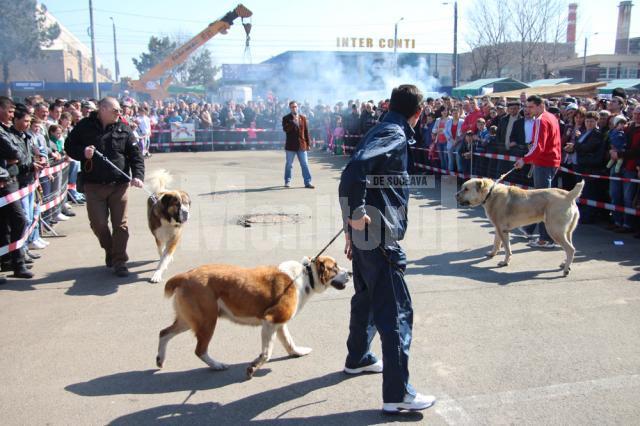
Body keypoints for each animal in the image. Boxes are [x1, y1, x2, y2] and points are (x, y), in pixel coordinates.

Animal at [156, 256, 350, 380]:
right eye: (334, 267)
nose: (351, 273)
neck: (305, 274)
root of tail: (185, 275)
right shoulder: (270, 320)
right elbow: (267, 353)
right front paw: (253, 367)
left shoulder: (279, 323)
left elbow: (289, 341)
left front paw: (297, 352)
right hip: (207, 321)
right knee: (199, 350)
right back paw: (217, 365)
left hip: (189, 320)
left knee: (163, 333)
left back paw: (160, 359)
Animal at [456, 177, 584, 274]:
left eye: (466, 189)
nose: (455, 195)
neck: (489, 193)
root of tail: (569, 195)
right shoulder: (498, 229)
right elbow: (496, 243)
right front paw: (492, 254)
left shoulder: (503, 230)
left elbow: (507, 248)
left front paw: (505, 262)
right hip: (567, 232)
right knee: (570, 249)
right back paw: (565, 264)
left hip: (554, 230)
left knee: (570, 249)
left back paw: (565, 270)